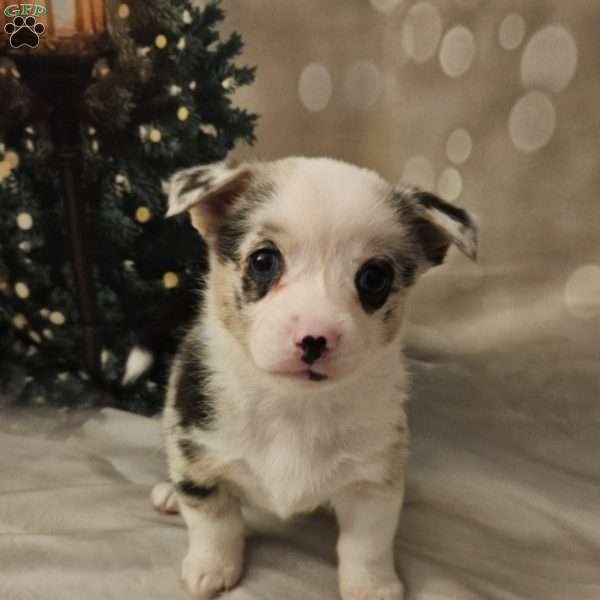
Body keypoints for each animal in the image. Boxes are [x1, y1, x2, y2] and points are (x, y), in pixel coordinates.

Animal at [151, 157, 478, 596]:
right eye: (263, 261)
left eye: (374, 278)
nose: (314, 339)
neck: (294, 404)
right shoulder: (198, 462)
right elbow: (215, 524)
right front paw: (212, 569)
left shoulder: (372, 485)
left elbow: (368, 544)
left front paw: (372, 587)